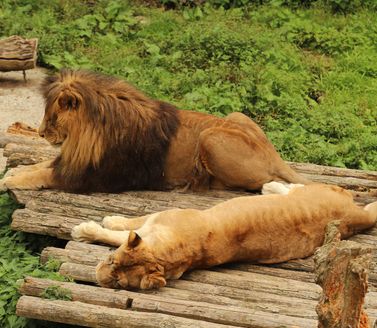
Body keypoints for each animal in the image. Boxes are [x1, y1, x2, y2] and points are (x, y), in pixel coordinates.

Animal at [0, 69, 308, 192]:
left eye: (52, 118)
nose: (41, 133)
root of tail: (273, 154)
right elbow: (39, 164)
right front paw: (15, 172)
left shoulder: (90, 176)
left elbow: (41, 173)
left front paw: (9, 181)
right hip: (235, 115)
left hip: (210, 137)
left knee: (260, 181)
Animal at [71, 183, 376, 290]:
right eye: (111, 263)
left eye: (119, 283)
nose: (98, 276)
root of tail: (353, 214)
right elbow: (123, 232)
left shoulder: (157, 218)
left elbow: (118, 231)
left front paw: (89, 228)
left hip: (313, 189)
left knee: (295, 185)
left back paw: (269, 186)